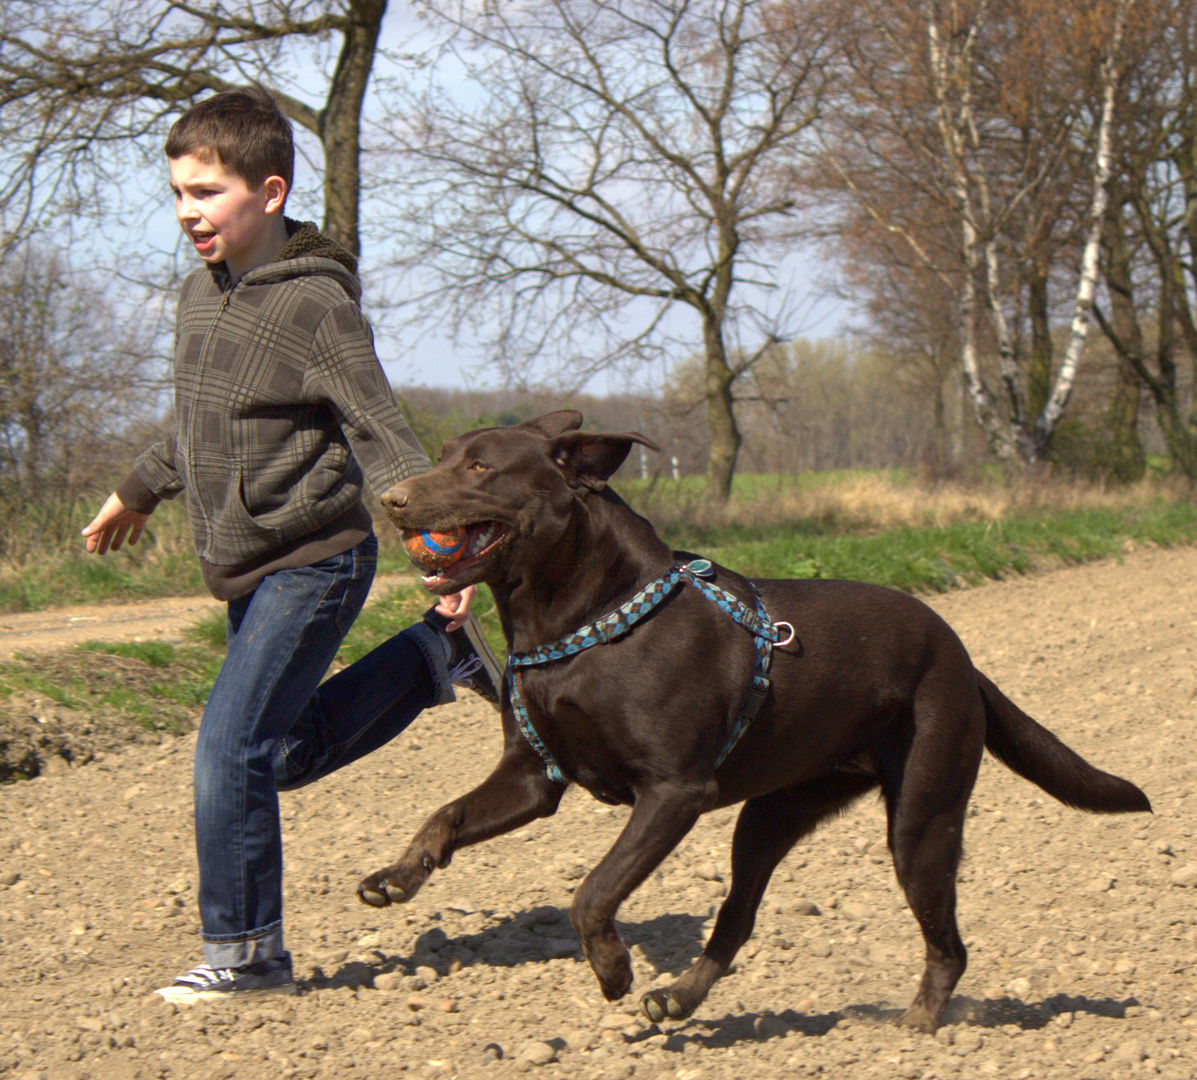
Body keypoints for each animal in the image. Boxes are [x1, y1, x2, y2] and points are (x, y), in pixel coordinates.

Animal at [356, 411, 1149, 1029]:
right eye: (444, 457)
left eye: (481, 467)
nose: (390, 500)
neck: (581, 624)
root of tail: (959, 655)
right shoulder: (533, 778)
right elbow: (443, 817)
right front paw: (396, 878)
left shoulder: (673, 791)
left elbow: (593, 891)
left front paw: (613, 970)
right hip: (771, 815)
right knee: (737, 917)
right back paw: (677, 1001)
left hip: (921, 820)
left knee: (947, 943)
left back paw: (919, 1024)